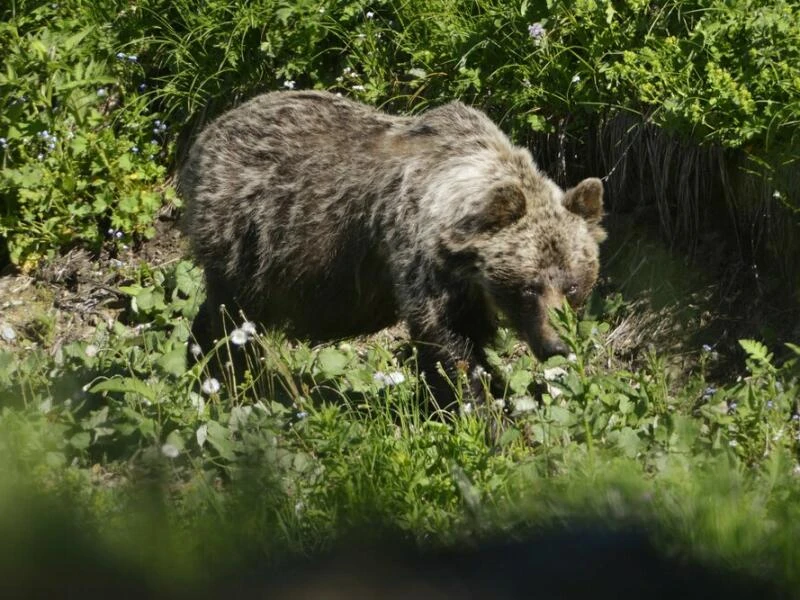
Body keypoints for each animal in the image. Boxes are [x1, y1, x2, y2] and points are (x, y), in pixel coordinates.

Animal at [180, 90, 608, 404]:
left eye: (573, 285)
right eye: (529, 287)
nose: (557, 345)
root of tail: (206, 134)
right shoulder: (420, 258)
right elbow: (450, 345)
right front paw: (483, 408)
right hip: (248, 237)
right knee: (231, 318)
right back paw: (223, 378)